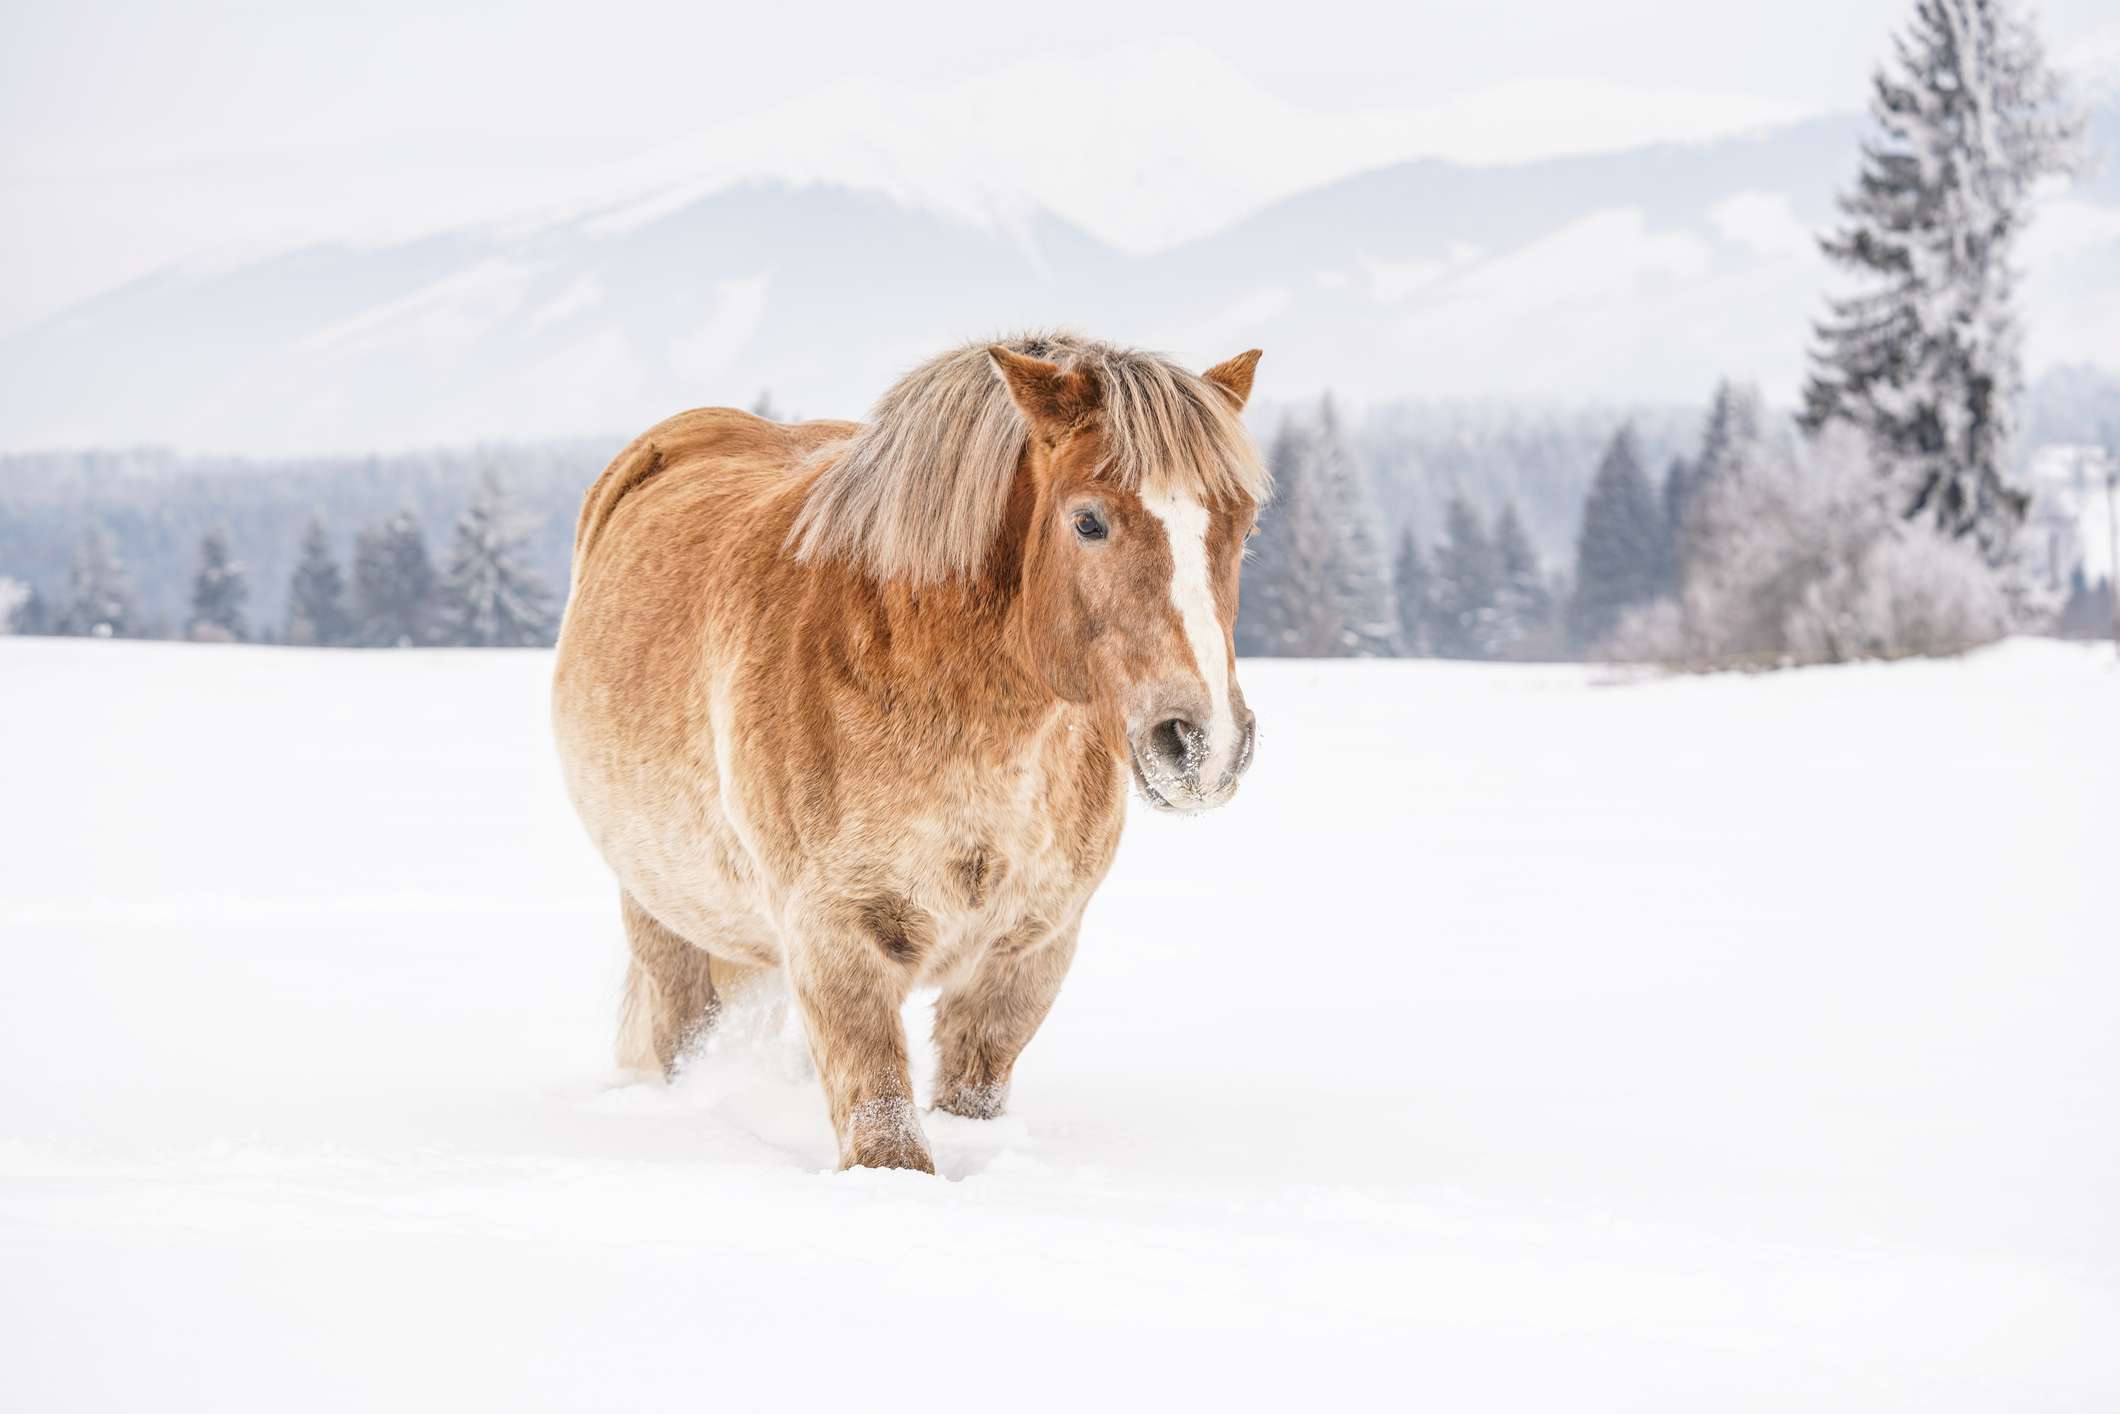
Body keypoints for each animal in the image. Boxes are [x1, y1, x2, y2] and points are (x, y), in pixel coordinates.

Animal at [555, 332, 1263, 1170]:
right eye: (1089, 522)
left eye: (1245, 526)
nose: (1204, 744)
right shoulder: (835, 943)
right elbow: (886, 1134)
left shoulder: (1029, 954)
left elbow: (971, 1095)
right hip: (666, 916)